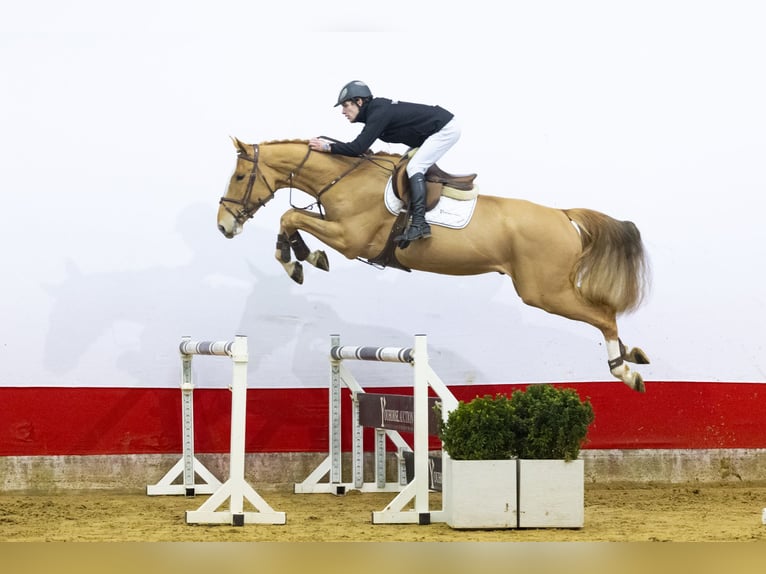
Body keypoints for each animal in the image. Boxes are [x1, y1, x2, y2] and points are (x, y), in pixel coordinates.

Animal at [218, 138, 651, 392]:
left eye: (239, 176)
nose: (224, 226)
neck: (346, 179)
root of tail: (563, 216)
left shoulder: (350, 239)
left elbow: (290, 216)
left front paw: (300, 260)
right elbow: (291, 218)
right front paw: (302, 258)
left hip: (545, 292)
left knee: (604, 315)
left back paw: (624, 370)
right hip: (553, 288)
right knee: (605, 311)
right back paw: (632, 354)